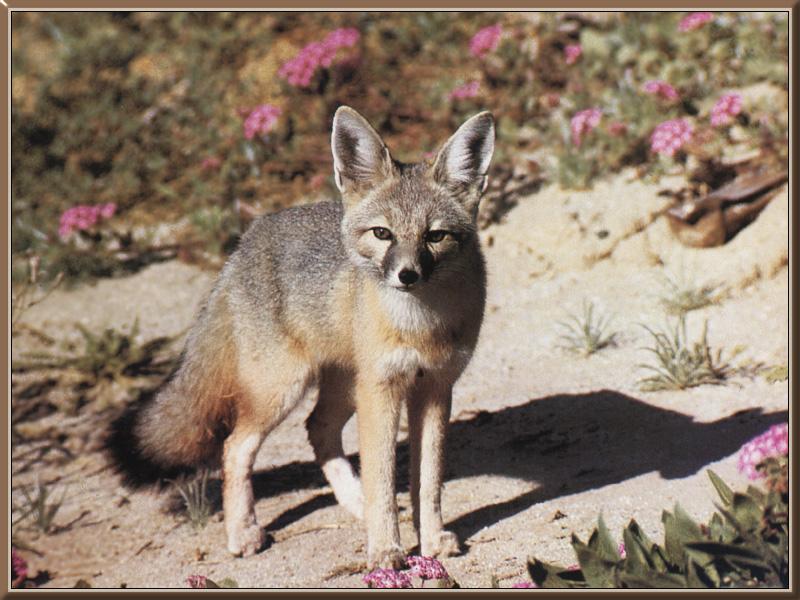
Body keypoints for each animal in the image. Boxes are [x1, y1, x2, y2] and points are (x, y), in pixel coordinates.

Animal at [126, 104, 494, 568]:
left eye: (435, 236)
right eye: (383, 234)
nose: (406, 275)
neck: (420, 325)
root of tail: (245, 241)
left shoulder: (435, 388)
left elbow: (427, 482)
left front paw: (431, 540)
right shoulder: (383, 390)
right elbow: (382, 477)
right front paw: (386, 549)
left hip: (343, 387)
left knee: (317, 428)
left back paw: (353, 504)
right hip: (284, 389)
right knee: (235, 447)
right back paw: (244, 532)